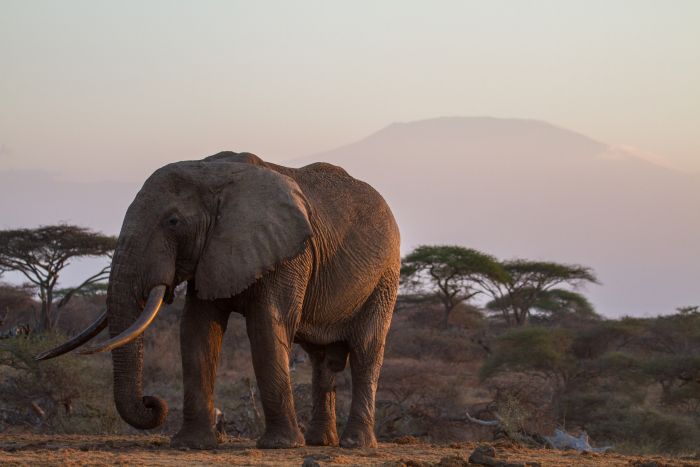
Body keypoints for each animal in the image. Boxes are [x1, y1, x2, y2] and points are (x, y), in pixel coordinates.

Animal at [38, 153, 400, 450]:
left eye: (173, 222)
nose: (152, 402)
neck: (213, 172)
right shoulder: (212, 253)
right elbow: (197, 330)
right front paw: (189, 445)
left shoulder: (289, 255)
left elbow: (267, 327)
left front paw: (279, 446)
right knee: (320, 359)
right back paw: (320, 442)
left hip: (386, 275)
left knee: (366, 350)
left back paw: (355, 445)